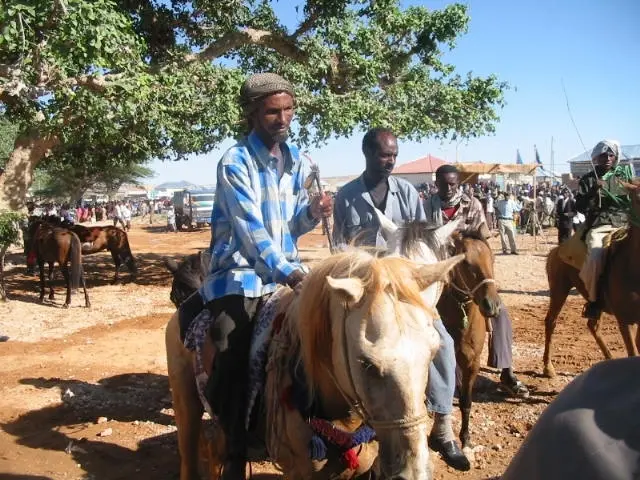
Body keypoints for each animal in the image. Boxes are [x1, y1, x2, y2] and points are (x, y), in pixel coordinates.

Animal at [376, 214, 504, 450]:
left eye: (492, 259)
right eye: (466, 263)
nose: (492, 306)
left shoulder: (472, 362)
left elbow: (466, 401)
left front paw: (465, 438)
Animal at [544, 178, 640, 376]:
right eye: (638, 196)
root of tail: (557, 250)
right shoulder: (625, 320)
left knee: (592, 325)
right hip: (558, 290)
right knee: (551, 322)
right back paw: (548, 367)